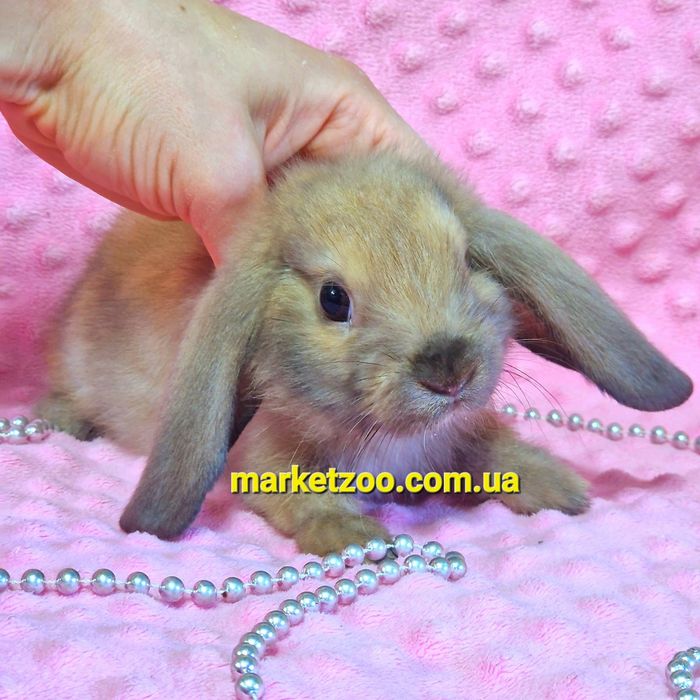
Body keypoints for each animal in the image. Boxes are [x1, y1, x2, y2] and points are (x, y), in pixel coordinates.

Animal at [37, 151, 693, 555]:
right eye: (333, 300)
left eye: (465, 261)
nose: (449, 371)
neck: (389, 439)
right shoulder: (266, 462)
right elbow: (302, 499)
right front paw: (356, 535)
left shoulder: (460, 434)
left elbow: (494, 451)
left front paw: (559, 486)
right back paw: (62, 419)